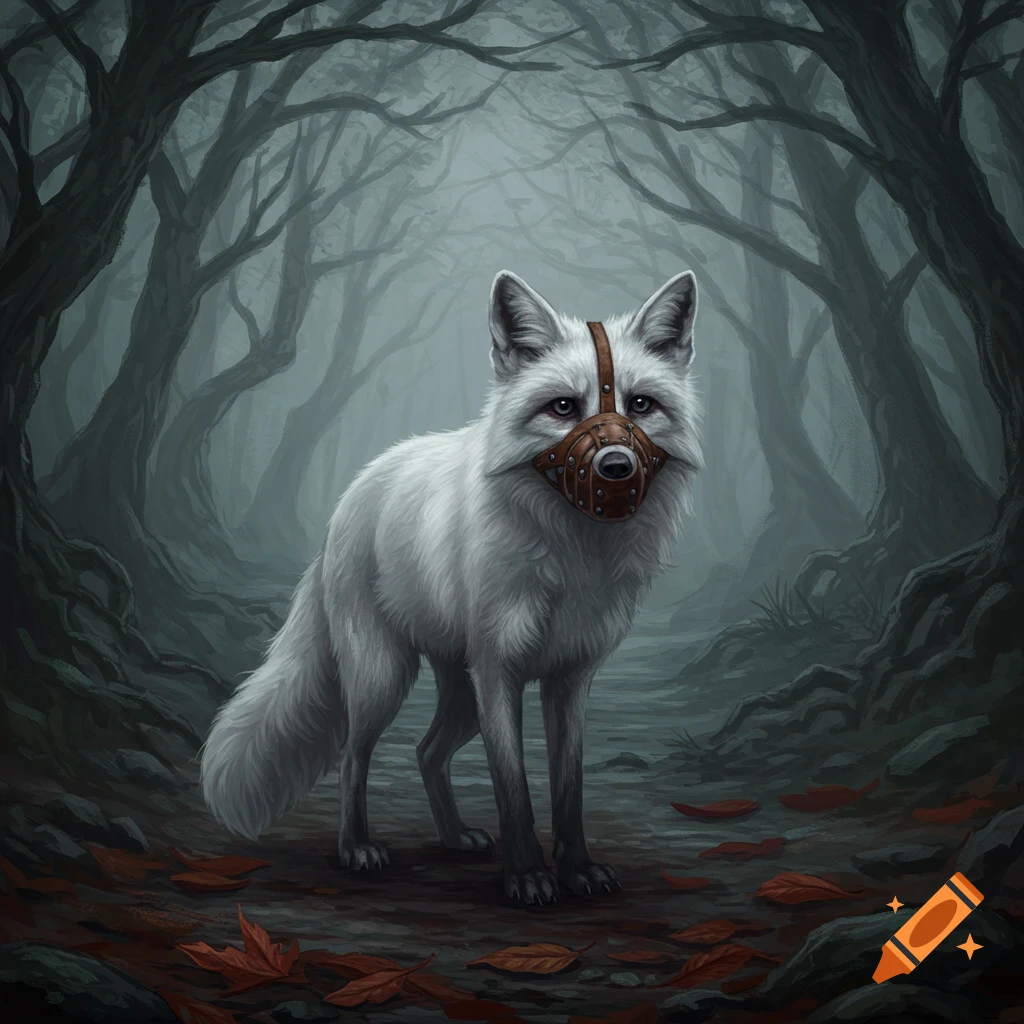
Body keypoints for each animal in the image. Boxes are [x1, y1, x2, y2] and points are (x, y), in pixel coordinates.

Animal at [200, 269, 702, 905]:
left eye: (640, 405)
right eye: (563, 407)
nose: (616, 468)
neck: (571, 559)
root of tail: (351, 497)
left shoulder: (568, 679)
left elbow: (568, 790)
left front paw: (577, 870)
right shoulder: (499, 673)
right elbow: (513, 789)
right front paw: (527, 877)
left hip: (458, 695)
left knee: (426, 751)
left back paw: (455, 836)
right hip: (385, 679)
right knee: (353, 756)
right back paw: (356, 848)